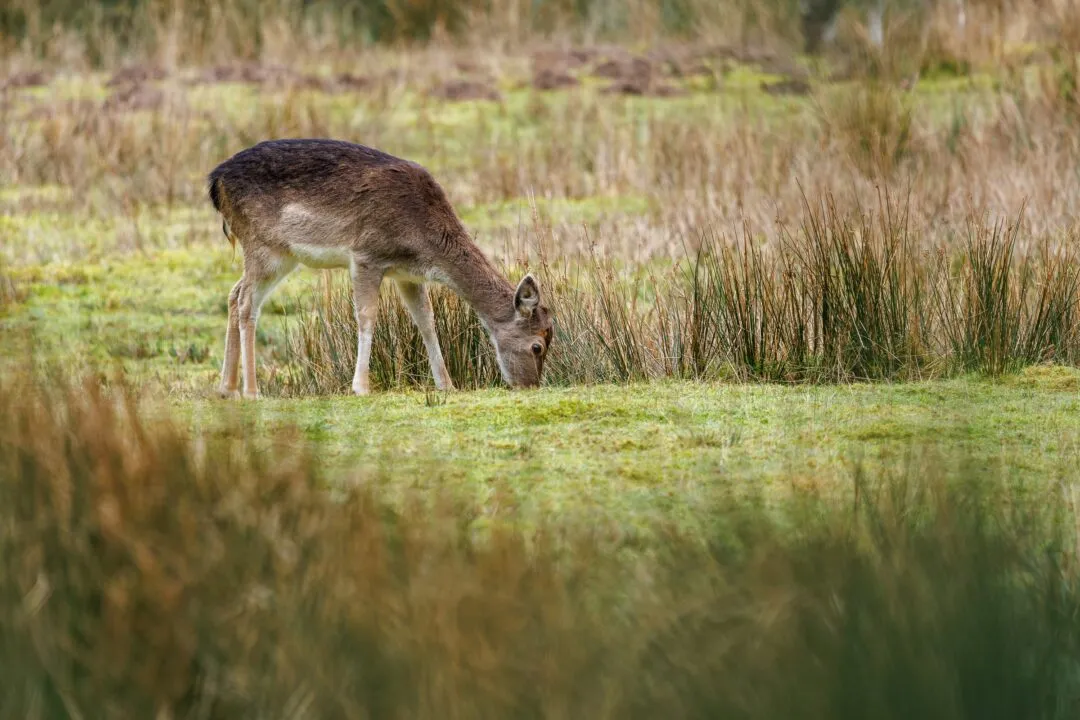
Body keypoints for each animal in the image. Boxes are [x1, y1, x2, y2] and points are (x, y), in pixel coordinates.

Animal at [207, 139, 553, 399]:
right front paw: (360, 387)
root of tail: (215, 182)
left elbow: (426, 321)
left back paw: (227, 388)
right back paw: (252, 391)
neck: (422, 239)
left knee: (234, 292)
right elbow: (367, 315)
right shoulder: (366, 255)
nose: (529, 386)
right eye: (537, 346)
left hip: (280, 255)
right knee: (247, 303)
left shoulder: (407, 274)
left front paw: (447, 385)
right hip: (264, 246)